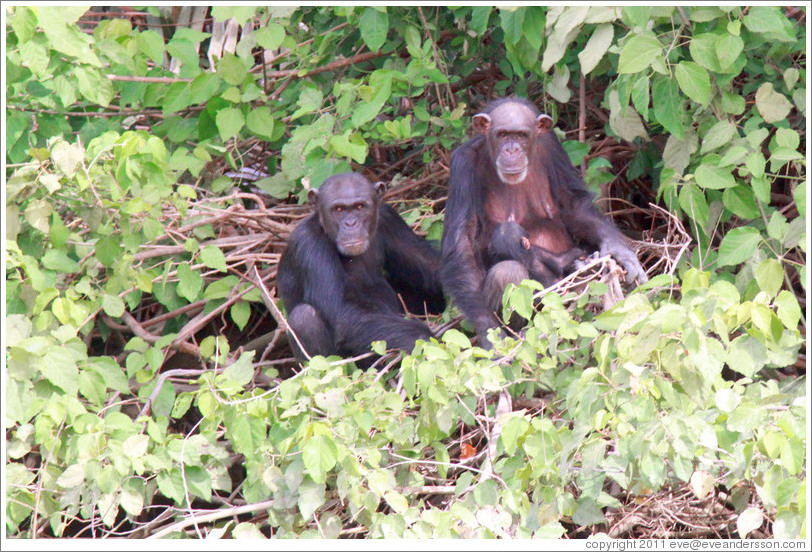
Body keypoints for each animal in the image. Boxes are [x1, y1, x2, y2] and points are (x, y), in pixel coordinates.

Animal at [278, 172, 444, 362]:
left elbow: (429, 265)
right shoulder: (309, 245)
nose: (351, 223)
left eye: (359, 207)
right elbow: (340, 312)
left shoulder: (389, 218)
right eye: (338, 210)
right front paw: (425, 340)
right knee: (304, 317)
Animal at [440, 96, 652, 344]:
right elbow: (462, 246)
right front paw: (489, 335)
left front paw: (620, 251)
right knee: (507, 272)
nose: (511, 149)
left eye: (521, 135)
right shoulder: (462, 166)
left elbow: (572, 206)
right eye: (502, 134)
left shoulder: (552, 146)